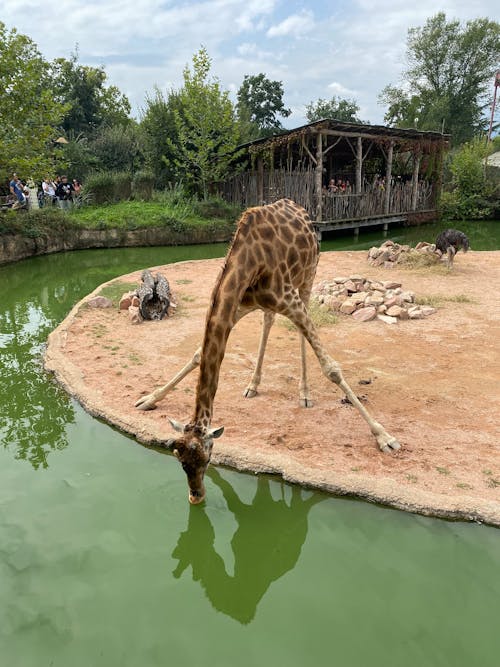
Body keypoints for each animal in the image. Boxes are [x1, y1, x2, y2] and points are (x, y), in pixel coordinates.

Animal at [135, 201, 400, 504]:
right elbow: (198, 354)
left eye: (207, 458)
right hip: (267, 301)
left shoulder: (288, 298)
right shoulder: (238, 304)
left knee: (301, 330)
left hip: (307, 278)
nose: (196, 496)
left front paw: (384, 437)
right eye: (180, 461)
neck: (249, 262)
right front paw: (149, 398)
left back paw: (304, 394)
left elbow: (331, 368)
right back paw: (253, 385)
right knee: (269, 321)